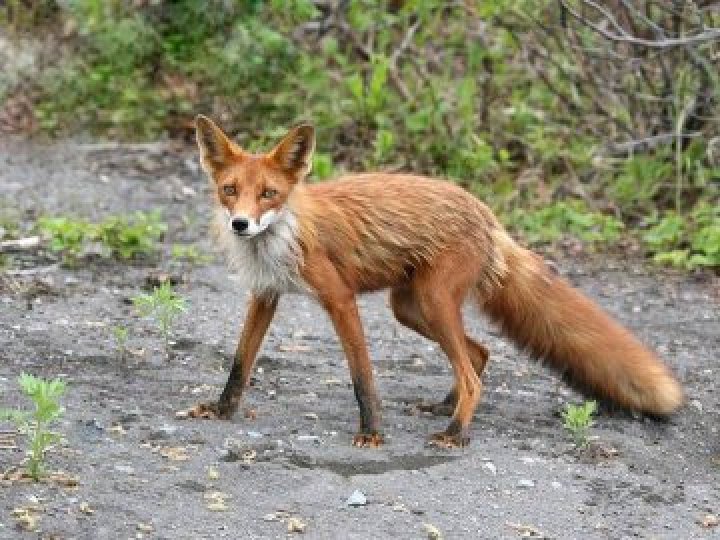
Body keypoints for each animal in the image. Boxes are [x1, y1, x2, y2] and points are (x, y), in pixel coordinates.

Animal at [188, 117, 684, 448]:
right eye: (230, 190)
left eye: (269, 194)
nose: (240, 224)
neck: (284, 234)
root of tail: (486, 214)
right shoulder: (265, 295)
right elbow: (240, 364)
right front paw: (221, 410)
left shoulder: (340, 299)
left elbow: (362, 377)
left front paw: (372, 433)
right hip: (409, 307)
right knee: (478, 355)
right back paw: (447, 408)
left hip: (432, 301)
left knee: (472, 373)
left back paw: (455, 432)